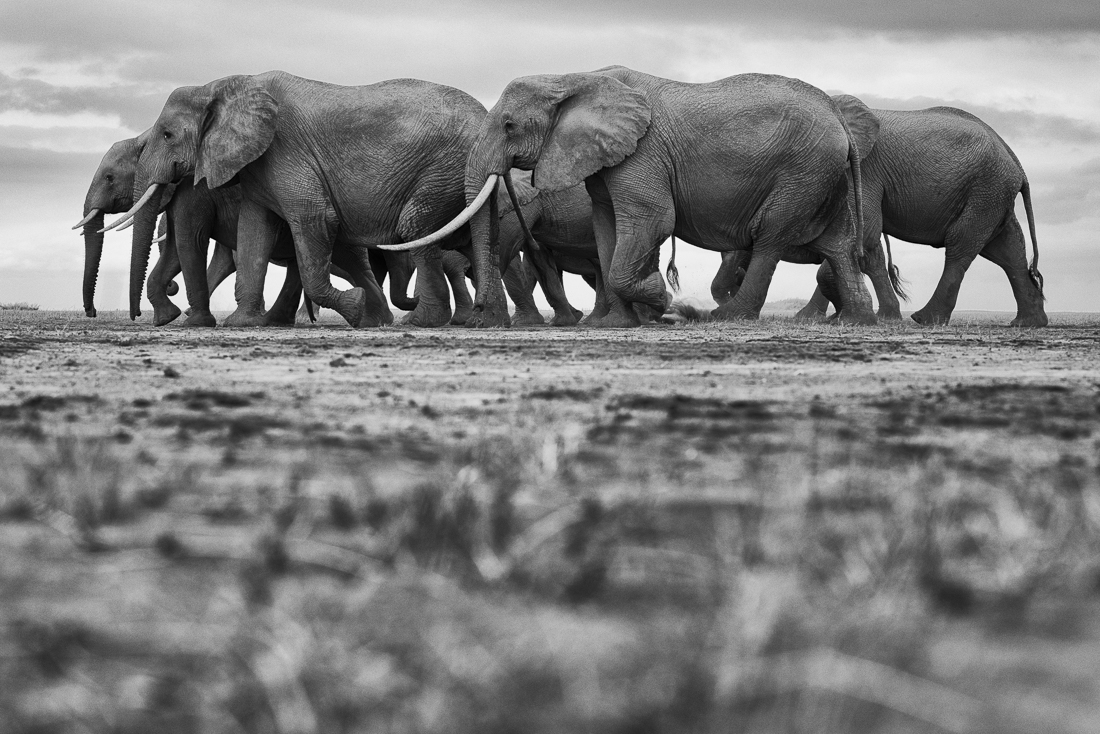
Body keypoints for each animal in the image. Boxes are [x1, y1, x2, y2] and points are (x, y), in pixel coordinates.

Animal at [108, 71, 487, 328]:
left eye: (167, 135)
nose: (139, 316)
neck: (224, 86)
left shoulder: (287, 153)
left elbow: (315, 219)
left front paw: (353, 304)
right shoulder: (258, 166)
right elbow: (254, 232)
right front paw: (242, 323)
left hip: (444, 169)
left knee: (416, 228)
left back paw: (417, 321)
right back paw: (381, 321)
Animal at [437, 66, 880, 328]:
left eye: (509, 125)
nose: (479, 313)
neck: (573, 77)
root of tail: (836, 113)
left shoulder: (643, 151)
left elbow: (651, 220)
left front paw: (661, 300)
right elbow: (606, 228)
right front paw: (612, 324)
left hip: (801, 170)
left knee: (770, 237)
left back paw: (723, 316)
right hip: (823, 174)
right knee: (838, 244)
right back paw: (857, 322)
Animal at [710, 98, 1047, 327]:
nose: (737, 278)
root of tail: (1017, 163)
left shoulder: (861, 170)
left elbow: (862, 236)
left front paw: (829, 317)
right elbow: (861, 244)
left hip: (986, 188)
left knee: (962, 246)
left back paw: (925, 319)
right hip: (992, 193)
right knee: (1008, 250)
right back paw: (1027, 324)